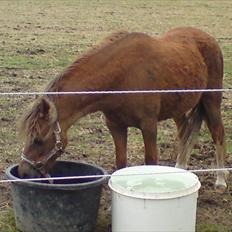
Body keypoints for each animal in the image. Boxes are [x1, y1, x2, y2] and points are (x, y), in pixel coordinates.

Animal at [18, 27, 228, 190]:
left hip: (211, 100)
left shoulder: (149, 126)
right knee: (185, 131)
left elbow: (150, 162)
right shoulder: (116, 126)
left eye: (38, 140)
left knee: (218, 133)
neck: (121, 78)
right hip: (178, 107)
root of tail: (208, 38)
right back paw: (180, 167)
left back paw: (220, 180)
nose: (23, 172)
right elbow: (120, 164)